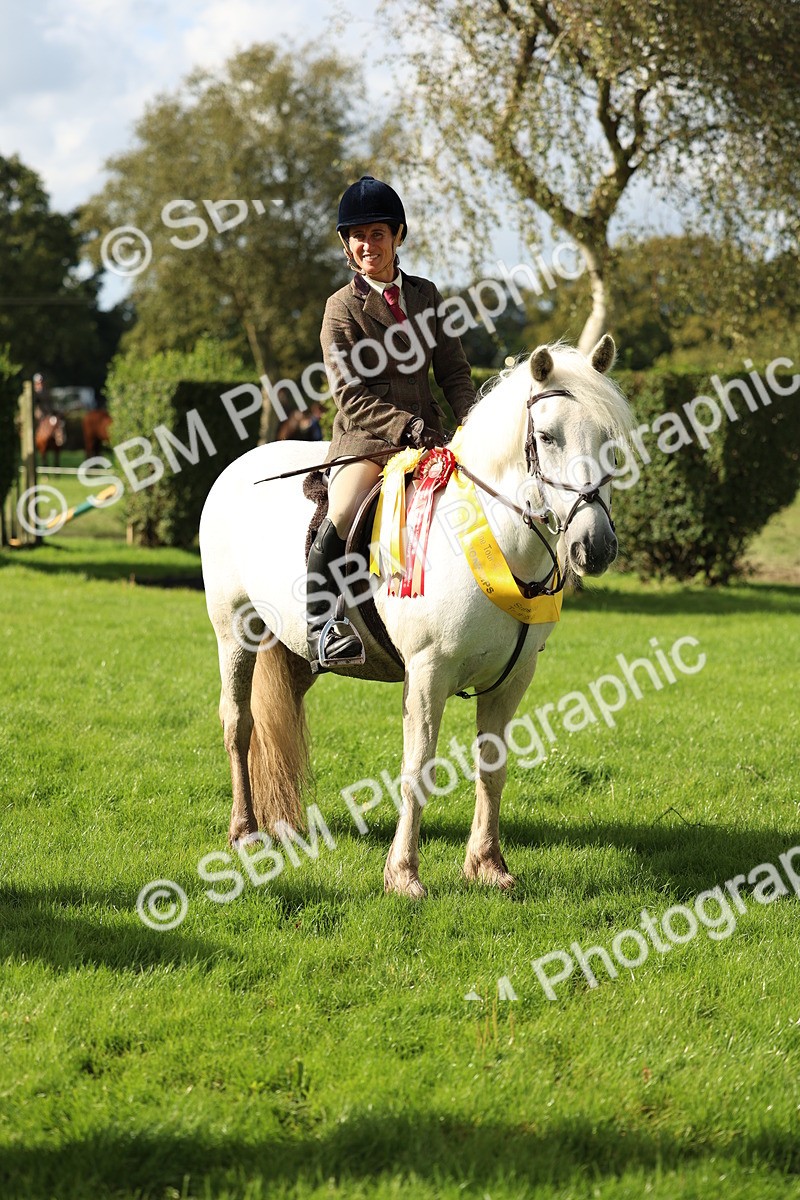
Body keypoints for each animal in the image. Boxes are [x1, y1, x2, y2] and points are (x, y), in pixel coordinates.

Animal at [199, 336, 634, 897]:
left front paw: (488, 865)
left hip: (293, 651)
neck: (491, 537)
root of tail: (239, 467)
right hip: (235, 632)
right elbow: (418, 769)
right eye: (546, 437)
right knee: (238, 723)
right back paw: (245, 831)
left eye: (609, 439)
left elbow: (492, 768)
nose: (594, 547)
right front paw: (403, 874)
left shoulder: (513, 679)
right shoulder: (428, 674)